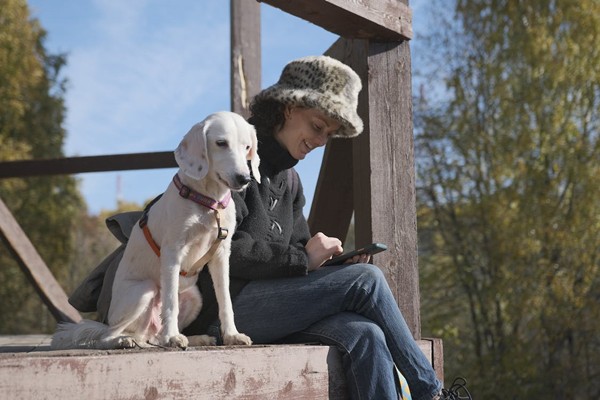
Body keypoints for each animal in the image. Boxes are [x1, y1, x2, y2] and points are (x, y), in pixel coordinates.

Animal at [55, 111, 262, 348]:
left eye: (247, 147)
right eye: (221, 143)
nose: (243, 178)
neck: (208, 202)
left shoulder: (221, 254)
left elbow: (225, 300)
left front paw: (232, 335)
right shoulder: (172, 252)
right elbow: (170, 301)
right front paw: (172, 336)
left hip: (194, 298)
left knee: (152, 336)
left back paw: (195, 338)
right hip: (144, 291)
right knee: (108, 335)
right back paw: (125, 340)